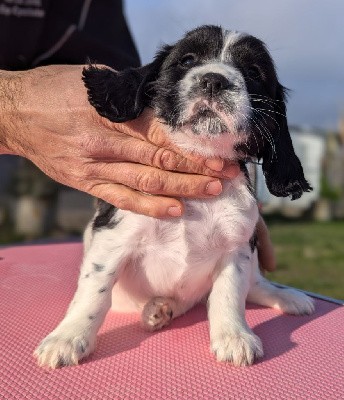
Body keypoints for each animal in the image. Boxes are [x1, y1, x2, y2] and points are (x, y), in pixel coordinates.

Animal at [35, 25, 314, 368]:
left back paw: (285, 297)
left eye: (253, 72)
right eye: (187, 60)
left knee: (254, 285)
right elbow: (93, 291)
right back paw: (160, 309)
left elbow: (229, 294)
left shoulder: (236, 247)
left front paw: (234, 336)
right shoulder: (114, 237)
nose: (214, 80)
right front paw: (68, 338)